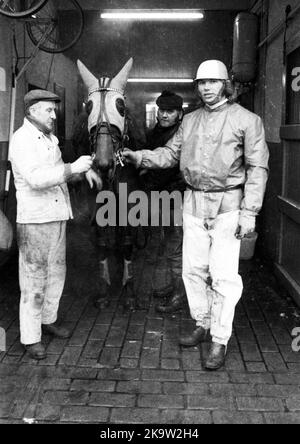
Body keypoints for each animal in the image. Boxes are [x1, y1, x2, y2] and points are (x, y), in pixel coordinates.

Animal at [75, 57, 145, 310]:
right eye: (88, 107)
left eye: (121, 106)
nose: (103, 164)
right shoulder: (96, 206)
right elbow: (102, 243)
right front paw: (104, 290)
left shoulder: (129, 204)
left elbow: (127, 243)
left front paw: (129, 291)